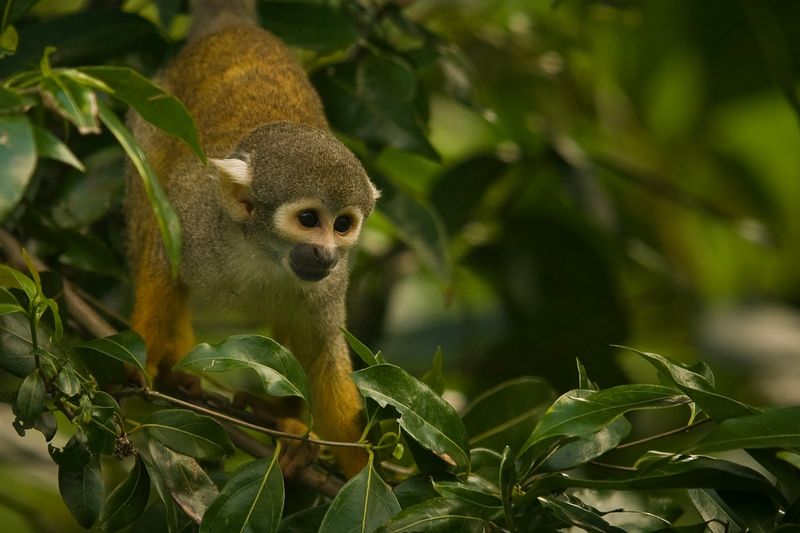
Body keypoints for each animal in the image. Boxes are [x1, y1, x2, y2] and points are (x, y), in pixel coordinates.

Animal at [124, 0, 377, 478]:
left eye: (342, 225)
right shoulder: (196, 218)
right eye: (309, 219)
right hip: (149, 112)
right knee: (148, 196)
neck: (263, 254)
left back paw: (281, 418)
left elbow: (321, 351)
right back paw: (174, 363)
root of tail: (233, 25)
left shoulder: (331, 283)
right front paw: (142, 362)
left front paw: (366, 470)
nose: (326, 253)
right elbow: (162, 257)